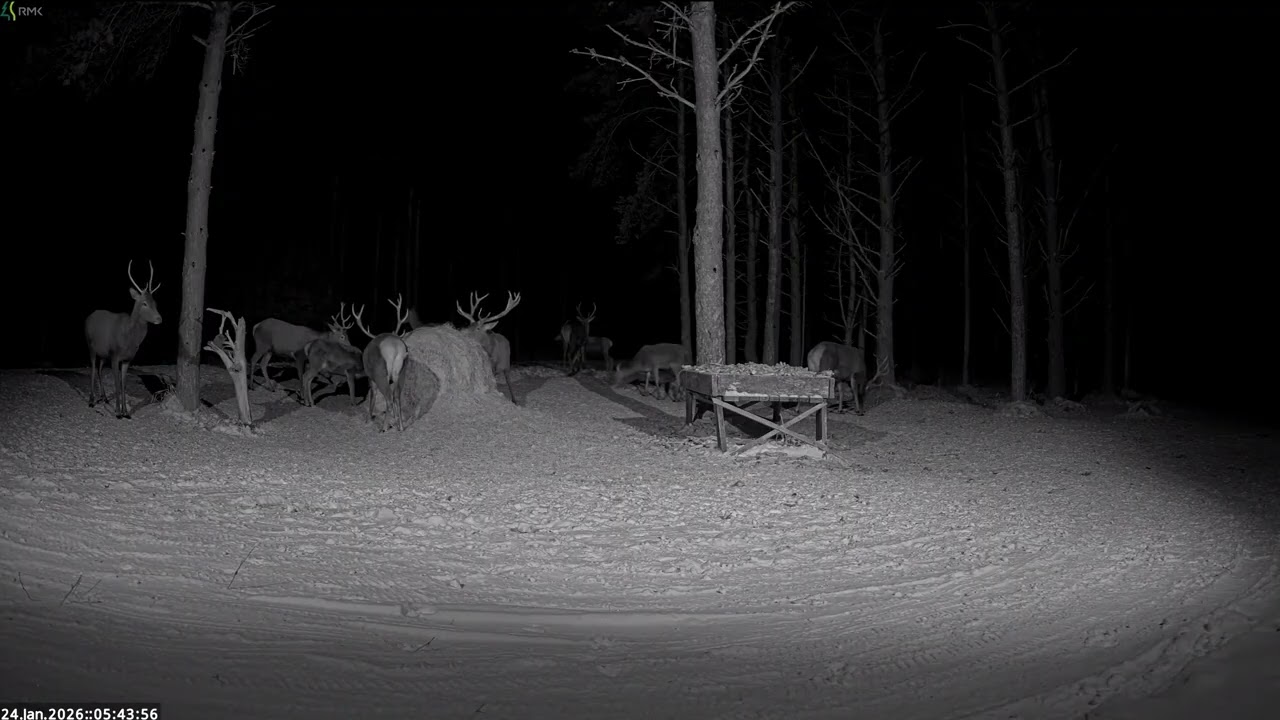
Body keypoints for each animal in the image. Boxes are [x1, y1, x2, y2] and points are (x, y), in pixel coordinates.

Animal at [84, 260, 163, 419]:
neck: (129, 340)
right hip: (90, 346)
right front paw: (118, 412)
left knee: (100, 369)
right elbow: (116, 383)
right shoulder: (115, 355)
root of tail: (89, 316)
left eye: (155, 303)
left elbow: (123, 383)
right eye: (144, 303)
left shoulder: (127, 359)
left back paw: (104, 397)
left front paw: (126, 412)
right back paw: (91, 401)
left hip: (103, 354)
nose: (159, 319)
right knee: (93, 369)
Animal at [355, 294, 412, 432]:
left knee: (389, 399)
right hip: (401, 371)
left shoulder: (370, 377)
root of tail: (395, 348)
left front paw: (368, 420)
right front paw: (395, 419)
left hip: (379, 373)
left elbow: (372, 396)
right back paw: (401, 427)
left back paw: (383, 428)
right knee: (397, 397)